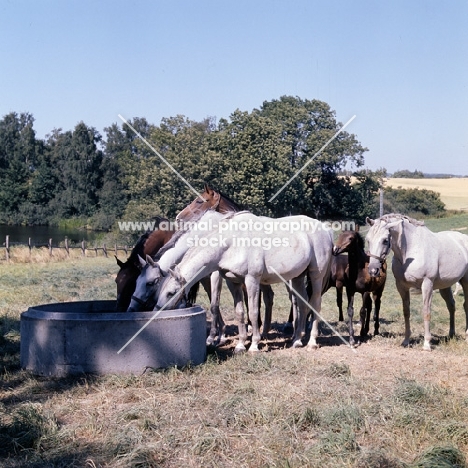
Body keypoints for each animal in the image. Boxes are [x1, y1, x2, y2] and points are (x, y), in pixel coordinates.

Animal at [156, 212, 332, 352]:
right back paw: (296, 340)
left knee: (315, 304)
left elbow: (253, 312)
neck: (232, 241)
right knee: (302, 303)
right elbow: (240, 313)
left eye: (171, 292)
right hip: (297, 277)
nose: (157, 309)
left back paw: (311, 342)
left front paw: (254, 345)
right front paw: (240, 345)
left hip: (316, 276)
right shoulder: (233, 282)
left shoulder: (252, 280)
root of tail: (325, 229)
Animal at [366, 214, 468, 350]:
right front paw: (406, 340)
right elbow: (406, 312)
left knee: (465, 305)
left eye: (385, 240)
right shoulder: (402, 286)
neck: (412, 249)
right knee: (451, 305)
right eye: (368, 240)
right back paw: (451, 334)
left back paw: (467, 335)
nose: (373, 270)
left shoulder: (427, 285)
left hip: (465, 281)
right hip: (445, 286)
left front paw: (427, 343)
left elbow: (426, 311)